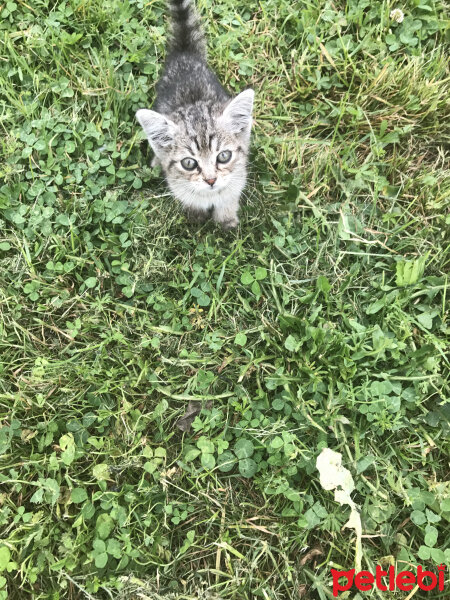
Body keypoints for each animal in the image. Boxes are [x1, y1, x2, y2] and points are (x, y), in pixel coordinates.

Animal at [135, 0, 253, 229]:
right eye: (189, 163)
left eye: (224, 156)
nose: (211, 180)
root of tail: (184, 55)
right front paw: (196, 215)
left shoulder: (237, 177)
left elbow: (229, 198)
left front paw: (226, 219)